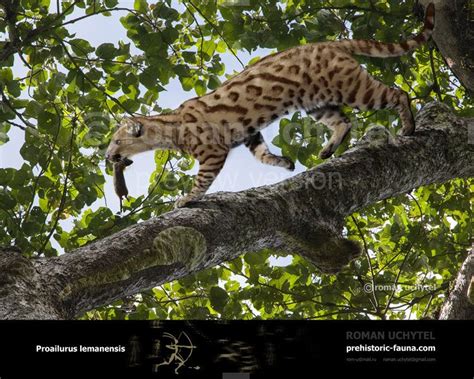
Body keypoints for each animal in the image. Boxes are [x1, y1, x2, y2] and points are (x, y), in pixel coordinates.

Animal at [105, 2, 436, 206]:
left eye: (115, 142)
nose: (108, 157)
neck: (171, 126)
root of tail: (331, 42)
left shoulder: (213, 152)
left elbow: (201, 181)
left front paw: (187, 199)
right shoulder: (249, 133)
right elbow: (263, 156)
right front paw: (285, 162)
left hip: (353, 89)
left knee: (398, 94)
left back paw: (408, 125)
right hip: (316, 103)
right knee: (344, 122)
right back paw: (328, 149)